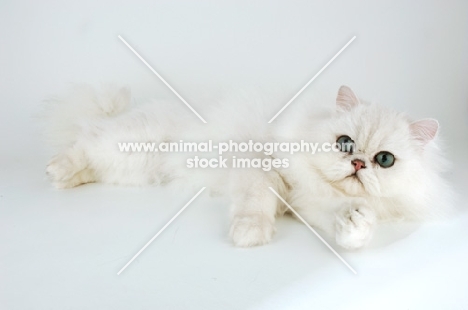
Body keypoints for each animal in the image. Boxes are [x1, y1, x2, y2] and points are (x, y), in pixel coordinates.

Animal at [43, 84, 450, 249]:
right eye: (345, 143)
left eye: (385, 160)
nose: (358, 162)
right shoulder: (262, 168)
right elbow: (255, 205)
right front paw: (250, 234)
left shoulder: (311, 206)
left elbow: (345, 221)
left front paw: (355, 226)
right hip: (126, 142)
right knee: (84, 144)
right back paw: (55, 172)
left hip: (131, 169)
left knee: (92, 162)